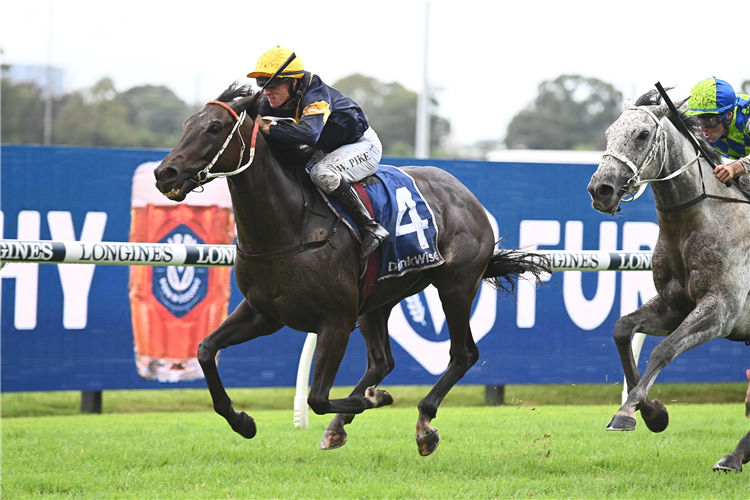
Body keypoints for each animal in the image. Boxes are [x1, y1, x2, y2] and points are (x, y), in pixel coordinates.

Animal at [588, 88, 750, 470]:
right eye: (609, 133)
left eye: (642, 134)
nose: (600, 189)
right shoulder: (674, 306)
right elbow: (622, 329)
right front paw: (652, 413)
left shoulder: (722, 310)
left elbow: (663, 349)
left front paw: (627, 413)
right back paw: (734, 456)